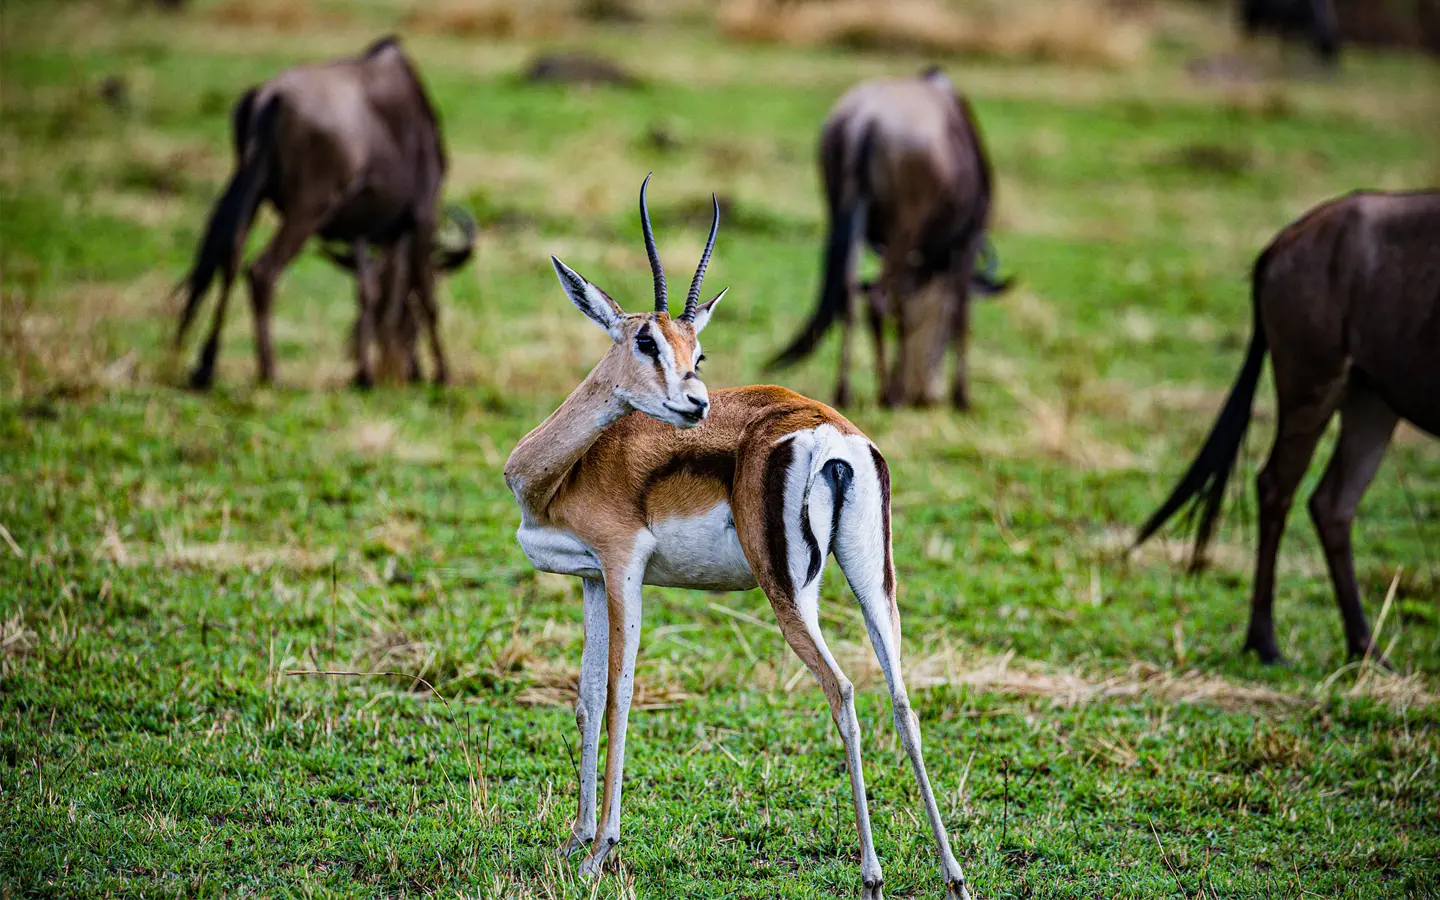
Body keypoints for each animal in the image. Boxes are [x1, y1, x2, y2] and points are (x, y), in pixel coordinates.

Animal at [175, 35, 469, 389]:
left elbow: (375, 292)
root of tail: (272, 96)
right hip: (307, 210)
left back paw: (205, 367)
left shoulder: (372, 229)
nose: (411, 372)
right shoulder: (422, 214)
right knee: (262, 270)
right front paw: (443, 374)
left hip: (247, 190)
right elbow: (424, 296)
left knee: (229, 261)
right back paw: (270, 373)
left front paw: (370, 372)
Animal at [504, 176, 971, 900]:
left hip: (788, 591)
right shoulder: (589, 579)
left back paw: (871, 874)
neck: (563, 470)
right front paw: (574, 838)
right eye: (648, 342)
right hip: (874, 582)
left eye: (698, 353)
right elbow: (585, 698)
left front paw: (598, 851)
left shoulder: (622, 567)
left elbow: (619, 695)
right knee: (901, 698)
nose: (695, 403)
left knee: (843, 690)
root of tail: (833, 436)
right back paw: (953, 874)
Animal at [768, 67, 1010, 410]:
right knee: (879, 298)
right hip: (903, 227)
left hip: (841, 210)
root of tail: (865, 119)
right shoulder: (968, 238)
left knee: (850, 293)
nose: (924, 394)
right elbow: (958, 312)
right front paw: (961, 396)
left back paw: (844, 392)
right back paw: (887, 394)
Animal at [1135, 190, 1439, 664]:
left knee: (1332, 501)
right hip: (1314, 380)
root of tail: (1284, 237)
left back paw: (1366, 650)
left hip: (1371, 394)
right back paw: (1269, 645)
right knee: (1279, 484)